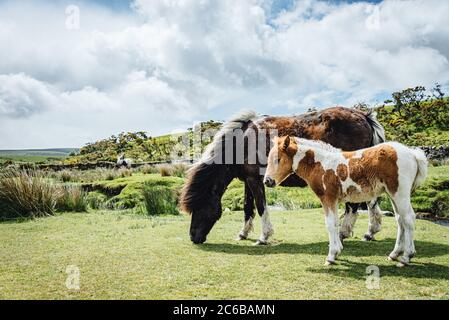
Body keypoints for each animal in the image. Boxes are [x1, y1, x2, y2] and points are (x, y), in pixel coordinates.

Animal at [179, 107, 384, 245]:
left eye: (199, 207)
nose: (193, 237)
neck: (242, 142)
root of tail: (364, 116)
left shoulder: (256, 181)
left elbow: (261, 207)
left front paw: (263, 237)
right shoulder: (248, 180)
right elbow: (247, 207)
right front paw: (243, 233)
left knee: (354, 206)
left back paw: (344, 233)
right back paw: (368, 232)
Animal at [262, 136, 428, 266]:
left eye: (278, 159)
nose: (267, 181)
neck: (320, 164)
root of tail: (413, 153)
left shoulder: (327, 198)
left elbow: (330, 224)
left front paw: (330, 256)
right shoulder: (334, 200)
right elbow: (336, 223)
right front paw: (337, 253)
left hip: (400, 193)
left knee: (408, 219)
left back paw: (406, 257)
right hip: (393, 195)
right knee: (400, 220)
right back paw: (394, 254)